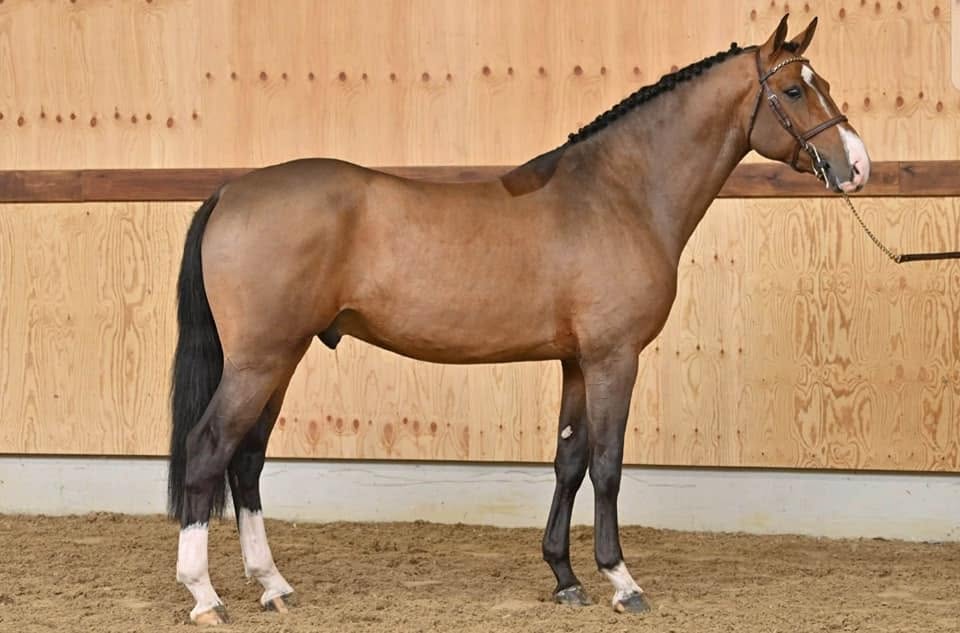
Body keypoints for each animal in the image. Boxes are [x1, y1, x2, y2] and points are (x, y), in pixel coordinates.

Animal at [167, 14, 870, 624]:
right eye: (792, 90)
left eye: (825, 85)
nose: (856, 166)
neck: (617, 194)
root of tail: (231, 190)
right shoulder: (614, 358)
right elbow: (608, 465)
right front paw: (621, 581)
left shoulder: (577, 362)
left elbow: (570, 460)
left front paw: (564, 577)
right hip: (261, 360)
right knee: (208, 449)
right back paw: (205, 596)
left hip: (280, 360)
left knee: (246, 459)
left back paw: (272, 585)